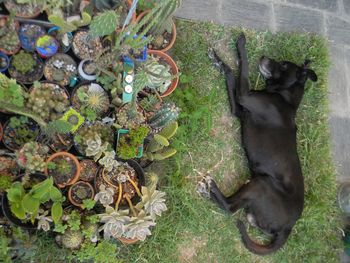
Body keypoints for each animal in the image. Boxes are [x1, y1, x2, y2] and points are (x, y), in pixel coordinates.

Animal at [200, 33, 318, 256]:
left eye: (283, 64)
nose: (263, 57)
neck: (283, 97)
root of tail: (288, 228)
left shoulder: (244, 96)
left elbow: (243, 67)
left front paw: (241, 44)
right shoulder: (239, 108)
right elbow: (231, 73)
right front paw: (218, 61)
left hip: (261, 183)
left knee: (230, 207)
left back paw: (211, 186)